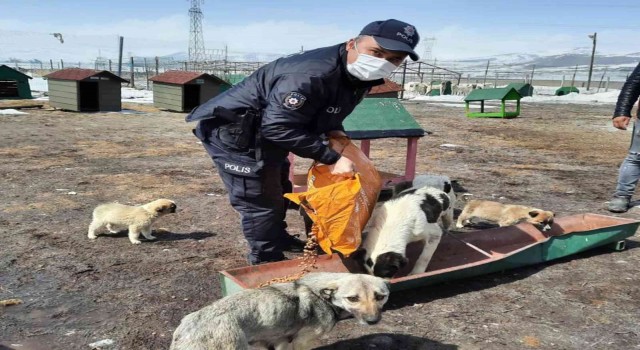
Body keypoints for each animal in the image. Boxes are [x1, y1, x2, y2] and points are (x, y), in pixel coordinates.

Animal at [170, 274, 388, 350]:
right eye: (353, 298)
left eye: (380, 296)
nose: (373, 321)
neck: (322, 296)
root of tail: (185, 331)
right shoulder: (302, 342)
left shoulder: (279, 341)